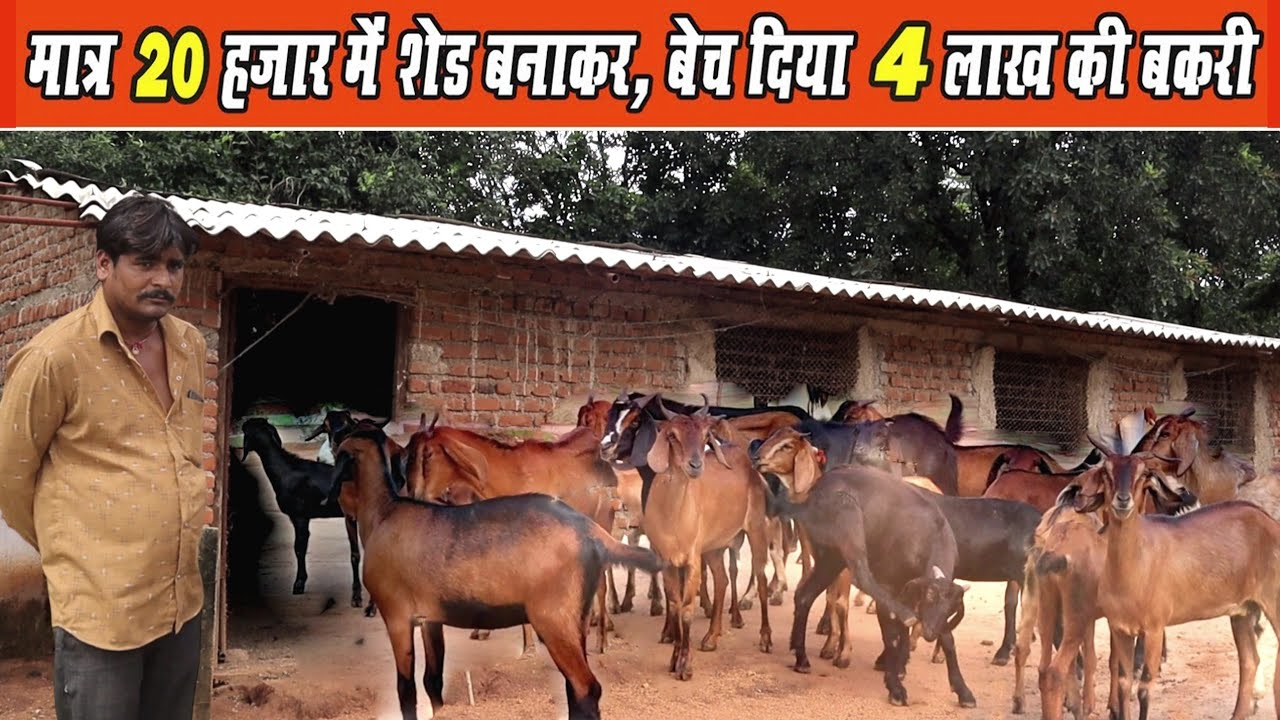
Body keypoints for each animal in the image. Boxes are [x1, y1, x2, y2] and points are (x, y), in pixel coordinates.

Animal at [331, 427, 662, 720]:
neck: (384, 512)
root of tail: (591, 531)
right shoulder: (431, 619)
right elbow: (432, 681)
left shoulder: (397, 616)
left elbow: (406, 689)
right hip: (574, 619)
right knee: (574, 689)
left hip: (554, 619)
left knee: (586, 688)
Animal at [642, 399, 774, 680]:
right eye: (672, 435)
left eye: (705, 436)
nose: (695, 465)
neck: (673, 515)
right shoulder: (667, 560)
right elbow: (675, 605)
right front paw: (674, 658)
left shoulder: (692, 558)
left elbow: (688, 610)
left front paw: (685, 665)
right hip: (714, 547)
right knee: (722, 580)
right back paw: (711, 638)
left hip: (756, 529)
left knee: (761, 579)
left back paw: (766, 639)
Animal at [753, 427, 976, 708]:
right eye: (930, 596)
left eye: (952, 607)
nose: (929, 632)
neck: (928, 536)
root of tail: (818, 489)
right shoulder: (891, 585)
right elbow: (891, 633)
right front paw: (895, 686)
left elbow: (946, 637)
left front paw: (963, 691)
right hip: (848, 525)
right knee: (860, 576)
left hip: (831, 557)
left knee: (805, 595)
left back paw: (802, 658)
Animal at [1073, 440, 1280, 720]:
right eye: (1106, 472)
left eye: (1143, 475)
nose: (1123, 501)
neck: (1133, 567)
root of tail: (1269, 522)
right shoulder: (1120, 628)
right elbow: (1124, 683)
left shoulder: (1154, 627)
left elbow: (1145, 687)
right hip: (1243, 610)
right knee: (1249, 661)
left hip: (1273, 601)